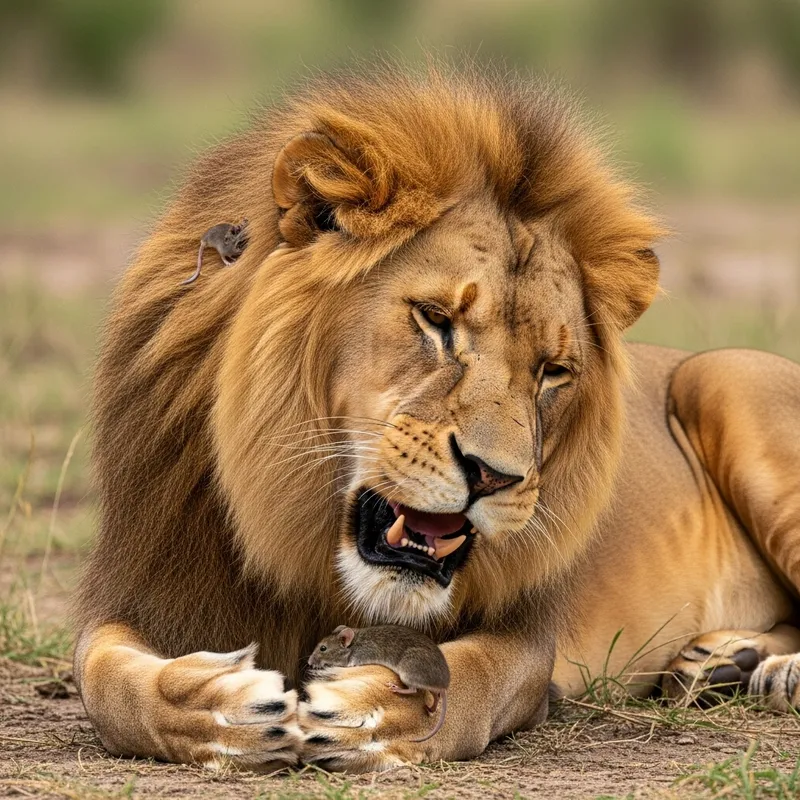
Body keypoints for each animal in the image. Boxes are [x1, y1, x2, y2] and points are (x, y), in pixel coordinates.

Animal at [73, 62, 800, 772]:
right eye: (436, 320)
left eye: (552, 371)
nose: (494, 477)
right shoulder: (143, 586)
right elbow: (104, 680)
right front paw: (219, 709)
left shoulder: (527, 642)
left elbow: (468, 681)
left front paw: (367, 711)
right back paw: (718, 663)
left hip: (727, 383)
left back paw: (772, 672)